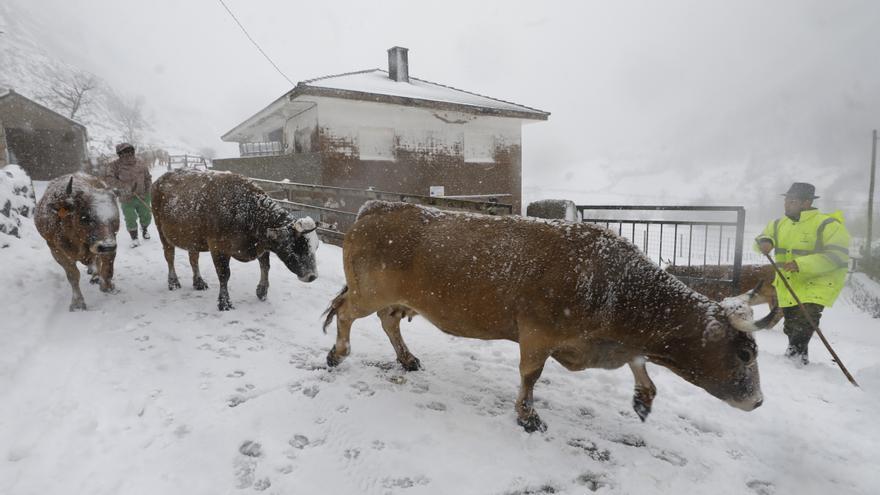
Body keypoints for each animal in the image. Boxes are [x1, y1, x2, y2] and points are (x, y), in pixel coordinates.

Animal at [35, 173, 118, 310]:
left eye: (115, 217)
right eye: (85, 217)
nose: (107, 246)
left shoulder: (111, 242)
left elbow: (107, 269)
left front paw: (107, 287)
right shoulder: (57, 251)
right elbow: (73, 275)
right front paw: (78, 303)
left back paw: (96, 276)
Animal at [153, 170, 322, 310]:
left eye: (316, 247)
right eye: (298, 246)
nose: (312, 276)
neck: (247, 212)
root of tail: (161, 178)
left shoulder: (262, 245)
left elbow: (265, 267)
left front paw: (262, 291)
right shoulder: (218, 248)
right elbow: (224, 274)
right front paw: (224, 302)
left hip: (192, 237)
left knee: (193, 258)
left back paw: (198, 282)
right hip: (162, 232)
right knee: (169, 257)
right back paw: (173, 282)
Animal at [324, 202, 764, 434]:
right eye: (745, 354)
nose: (758, 402)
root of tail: (378, 207)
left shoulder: (612, 342)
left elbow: (640, 366)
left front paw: (644, 397)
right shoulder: (538, 333)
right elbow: (531, 375)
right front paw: (528, 415)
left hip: (396, 299)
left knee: (388, 322)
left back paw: (406, 358)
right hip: (368, 292)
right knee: (346, 314)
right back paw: (337, 354)